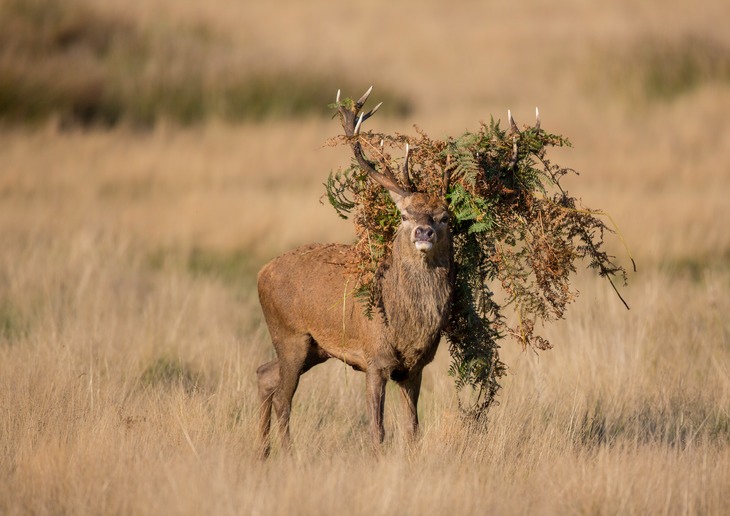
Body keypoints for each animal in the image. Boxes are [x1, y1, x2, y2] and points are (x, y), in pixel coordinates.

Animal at [255, 86, 450, 458]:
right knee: (284, 396)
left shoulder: (415, 368)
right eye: (404, 215)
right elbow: (378, 429)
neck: (406, 326)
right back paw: (287, 454)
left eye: (445, 216)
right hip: (289, 332)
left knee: (265, 374)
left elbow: (413, 429)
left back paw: (261, 451)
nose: (424, 232)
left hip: (314, 348)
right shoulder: (374, 358)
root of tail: (261, 272)